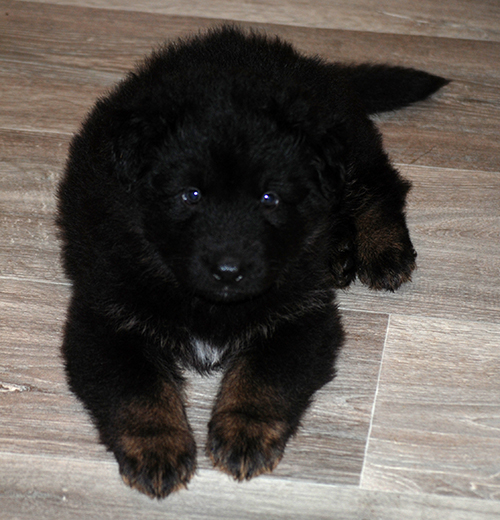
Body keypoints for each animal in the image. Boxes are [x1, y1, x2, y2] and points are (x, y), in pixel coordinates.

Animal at [57, 26, 448, 498]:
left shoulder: (301, 316)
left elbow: (264, 377)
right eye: (190, 194)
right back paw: (339, 251)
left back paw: (382, 248)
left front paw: (245, 433)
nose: (229, 271)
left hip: (348, 153)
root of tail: (313, 65)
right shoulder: (105, 317)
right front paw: (158, 448)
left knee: (382, 184)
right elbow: (137, 389)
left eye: (269, 198)